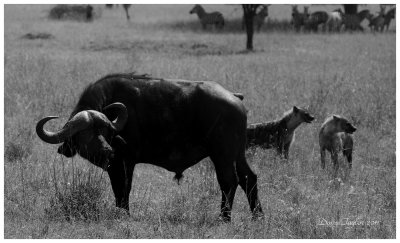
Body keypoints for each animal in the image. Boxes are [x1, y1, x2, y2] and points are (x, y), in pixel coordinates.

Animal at [36, 71, 262, 220]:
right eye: (85, 134)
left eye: (105, 132)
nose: (108, 151)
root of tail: (234, 98)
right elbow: (119, 189)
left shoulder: (123, 163)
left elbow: (122, 188)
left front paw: (124, 214)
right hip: (238, 154)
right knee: (248, 178)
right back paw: (257, 215)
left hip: (222, 155)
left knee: (229, 181)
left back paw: (224, 217)